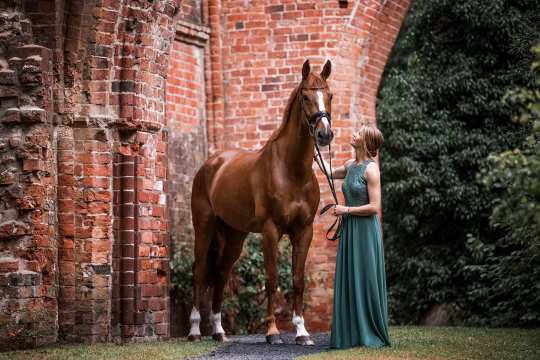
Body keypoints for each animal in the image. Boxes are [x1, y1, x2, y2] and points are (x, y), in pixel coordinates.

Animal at [189, 59, 334, 346]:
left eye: (330, 95)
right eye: (305, 96)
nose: (325, 134)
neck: (292, 170)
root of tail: (211, 164)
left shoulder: (304, 231)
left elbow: (298, 279)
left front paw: (302, 332)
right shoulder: (270, 230)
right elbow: (272, 278)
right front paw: (273, 333)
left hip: (235, 235)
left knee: (220, 273)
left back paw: (219, 331)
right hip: (204, 227)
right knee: (200, 272)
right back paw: (195, 330)